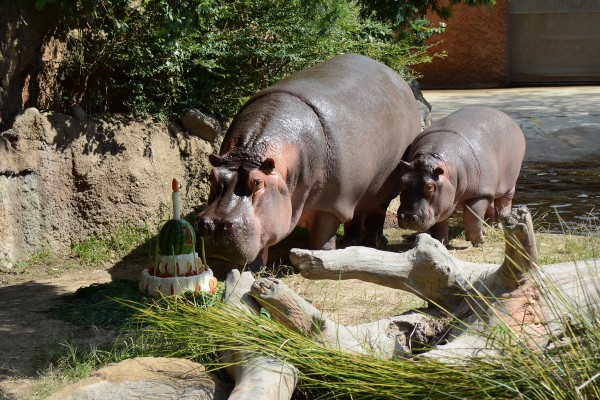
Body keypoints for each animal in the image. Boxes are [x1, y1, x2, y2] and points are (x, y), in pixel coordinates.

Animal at [197, 53, 422, 270]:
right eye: (212, 176)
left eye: (258, 182)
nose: (214, 225)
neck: (250, 154)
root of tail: (396, 76)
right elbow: (261, 246)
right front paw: (253, 270)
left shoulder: (330, 205)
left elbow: (323, 237)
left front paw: (319, 261)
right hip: (359, 191)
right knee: (356, 214)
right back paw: (351, 242)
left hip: (384, 190)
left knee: (378, 211)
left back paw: (373, 241)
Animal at [398, 105, 524, 244]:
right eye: (402, 181)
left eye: (430, 187)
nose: (408, 217)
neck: (433, 158)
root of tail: (508, 117)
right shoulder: (441, 204)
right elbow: (439, 223)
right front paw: (440, 241)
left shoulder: (479, 194)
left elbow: (473, 218)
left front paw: (479, 241)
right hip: (491, 187)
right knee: (491, 205)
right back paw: (489, 225)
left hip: (508, 184)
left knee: (504, 203)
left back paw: (500, 225)